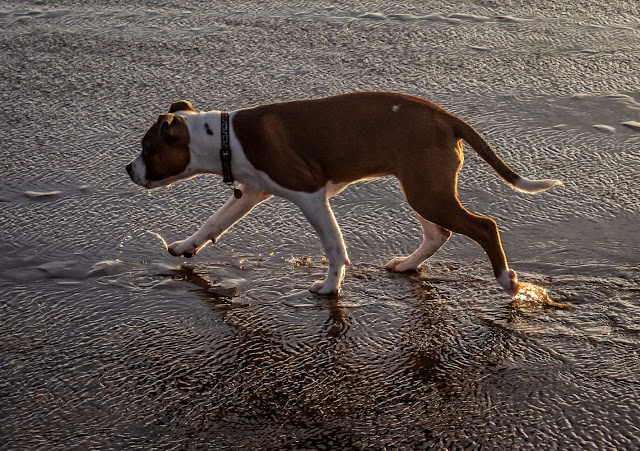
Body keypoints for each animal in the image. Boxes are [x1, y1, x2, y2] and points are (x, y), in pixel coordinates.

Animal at [127, 91, 564, 296]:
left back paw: (507, 282)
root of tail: (447, 118)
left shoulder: (310, 195)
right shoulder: (249, 193)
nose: (129, 169)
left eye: (147, 148)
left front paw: (330, 287)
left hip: (427, 192)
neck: (224, 138)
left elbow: (334, 244)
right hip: (421, 186)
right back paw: (408, 265)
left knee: (484, 226)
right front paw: (185, 246)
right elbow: (213, 222)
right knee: (438, 232)